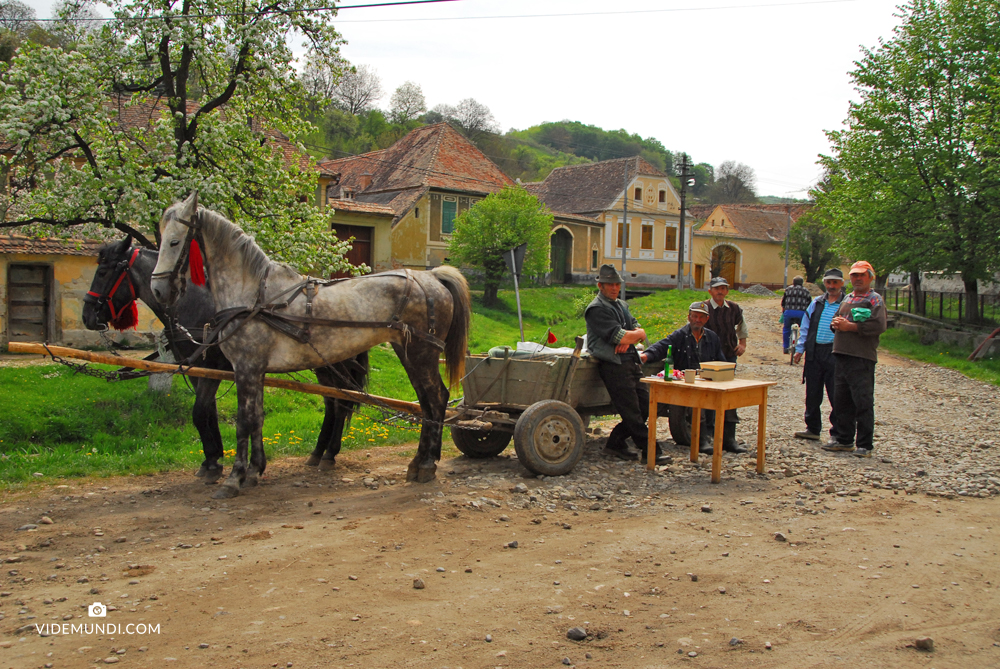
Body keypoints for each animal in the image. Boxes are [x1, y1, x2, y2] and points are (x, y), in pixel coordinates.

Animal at [80, 236, 366, 480]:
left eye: (103, 272)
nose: (87, 316)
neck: (195, 304)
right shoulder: (200, 370)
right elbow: (208, 413)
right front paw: (213, 458)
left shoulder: (212, 367)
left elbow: (200, 411)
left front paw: (215, 463)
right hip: (324, 366)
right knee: (332, 403)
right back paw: (318, 453)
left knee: (341, 404)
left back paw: (328, 454)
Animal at [150, 192, 470, 496]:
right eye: (161, 238)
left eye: (175, 241)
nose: (158, 289)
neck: (255, 295)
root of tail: (432, 276)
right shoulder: (255, 371)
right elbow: (256, 419)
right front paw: (254, 470)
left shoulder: (246, 367)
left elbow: (243, 421)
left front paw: (235, 478)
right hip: (408, 353)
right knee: (426, 403)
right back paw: (419, 462)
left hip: (420, 353)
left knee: (436, 399)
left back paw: (426, 464)